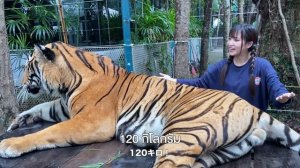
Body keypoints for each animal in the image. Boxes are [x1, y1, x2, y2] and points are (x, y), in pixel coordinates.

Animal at [0, 41, 300, 168]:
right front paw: (17, 121)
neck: (68, 83)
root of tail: (253, 108)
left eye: (28, 66)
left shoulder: (91, 121)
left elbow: (50, 132)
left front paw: (9, 144)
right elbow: (41, 109)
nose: (22, 82)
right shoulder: (64, 106)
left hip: (184, 134)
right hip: (226, 149)